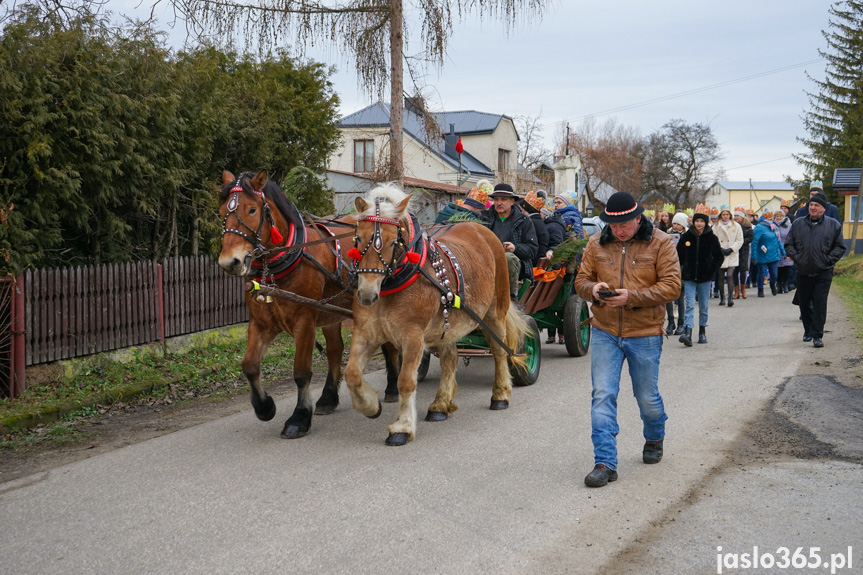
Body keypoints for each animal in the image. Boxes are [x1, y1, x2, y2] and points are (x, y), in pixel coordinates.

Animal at [219, 169, 402, 438]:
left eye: (251, 210)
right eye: (221, 211)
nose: (229, 262)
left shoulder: (304, 321)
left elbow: (301, 372)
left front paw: (299, 417)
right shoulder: (261, 322)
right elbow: (250, 366)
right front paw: (265, 407)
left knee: (388, 344)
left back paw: (392, 388)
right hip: (331, 314)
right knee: (335, 350)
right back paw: (327, 398)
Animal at [342, 183, 528, 446]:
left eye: (392, 243)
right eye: (358, 239)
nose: (367, 295)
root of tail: (483, 231)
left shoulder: (413, 337)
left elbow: (405, 381)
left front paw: (402, 426)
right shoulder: (366, 333)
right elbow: (351, 374)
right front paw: (370, 406)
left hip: (494, 312)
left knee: (499, 350)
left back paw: (500, 394)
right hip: (448, 323)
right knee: (450, 358)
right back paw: (440, 405)